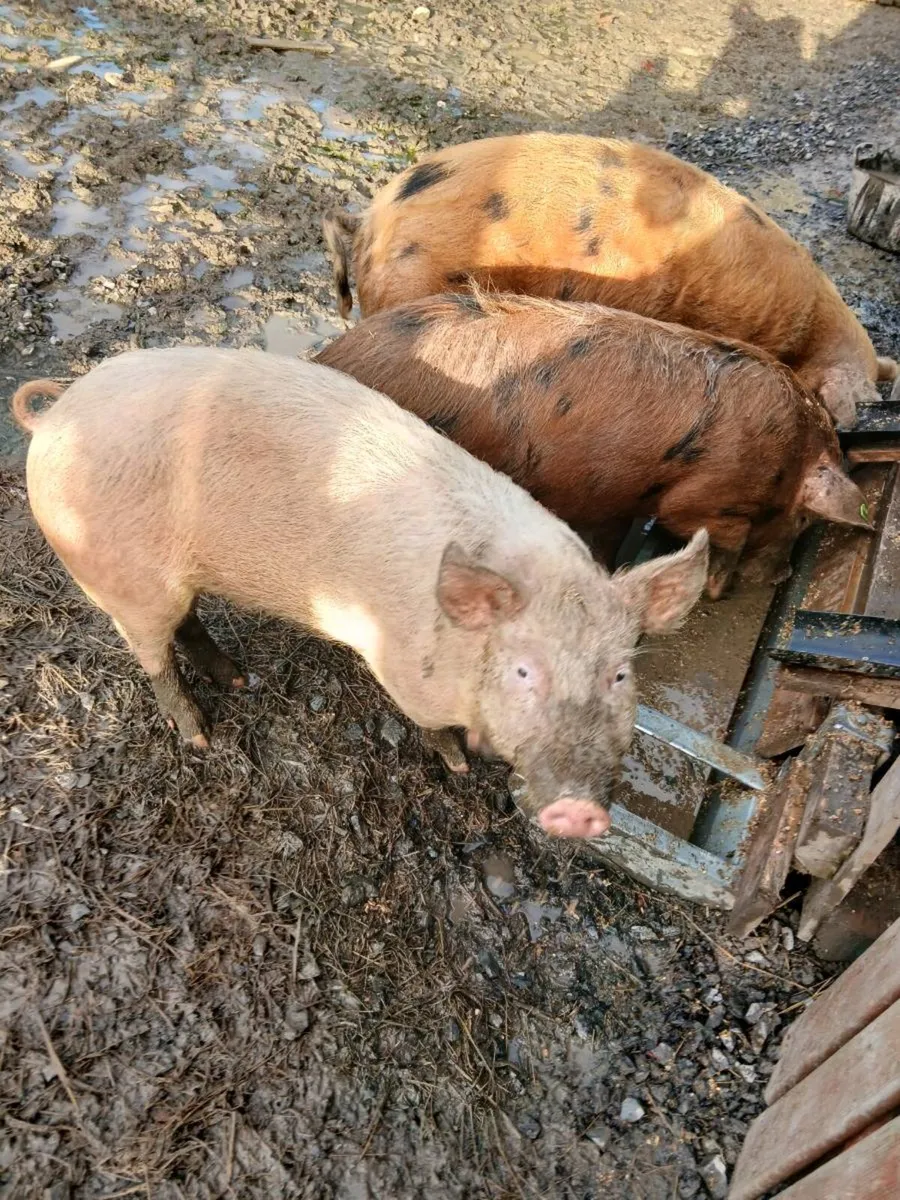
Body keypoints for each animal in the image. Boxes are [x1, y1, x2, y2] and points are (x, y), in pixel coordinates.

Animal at [11, 347, 709, 840]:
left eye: (620, 676)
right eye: (522, 671)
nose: (581, 813)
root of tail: (56, 414)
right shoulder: (404, 673)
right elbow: (432, 728)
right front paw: (460, 767)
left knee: (188, 623)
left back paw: (238, 679)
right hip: (117, 578)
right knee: (154, 657)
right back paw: (202, 736)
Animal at [314, 290, 872, 597]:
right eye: (805, 521)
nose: (783, 578)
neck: (791, 457)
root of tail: (330, 355)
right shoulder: (709, 500)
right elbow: (713, 538)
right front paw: (717, 591)